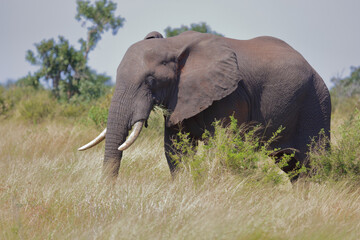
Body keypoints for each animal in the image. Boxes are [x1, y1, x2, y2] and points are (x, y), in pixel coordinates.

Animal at [79, 30, 332, 178]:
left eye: (150, 81)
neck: (173, 45)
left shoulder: (231, 95)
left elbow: (223, 145)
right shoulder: (179, 97)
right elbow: (176, 149)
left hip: (316, 102)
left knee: (314, 161)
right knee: (292, 167)